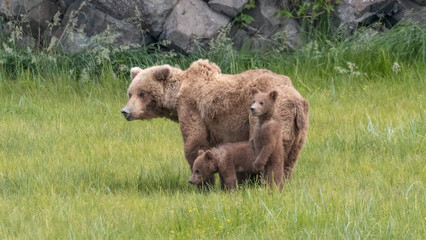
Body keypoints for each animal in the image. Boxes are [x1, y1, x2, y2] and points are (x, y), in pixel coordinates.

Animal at [121, 60, 308, 184]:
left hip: (267, 116)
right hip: (299, 130)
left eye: (142, 93)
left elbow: (194, 144)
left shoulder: (192, 109)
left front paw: (204, 183)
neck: (177, 96)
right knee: (290, 158)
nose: (125, 111)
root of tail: (296, 101)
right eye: (130, 93)